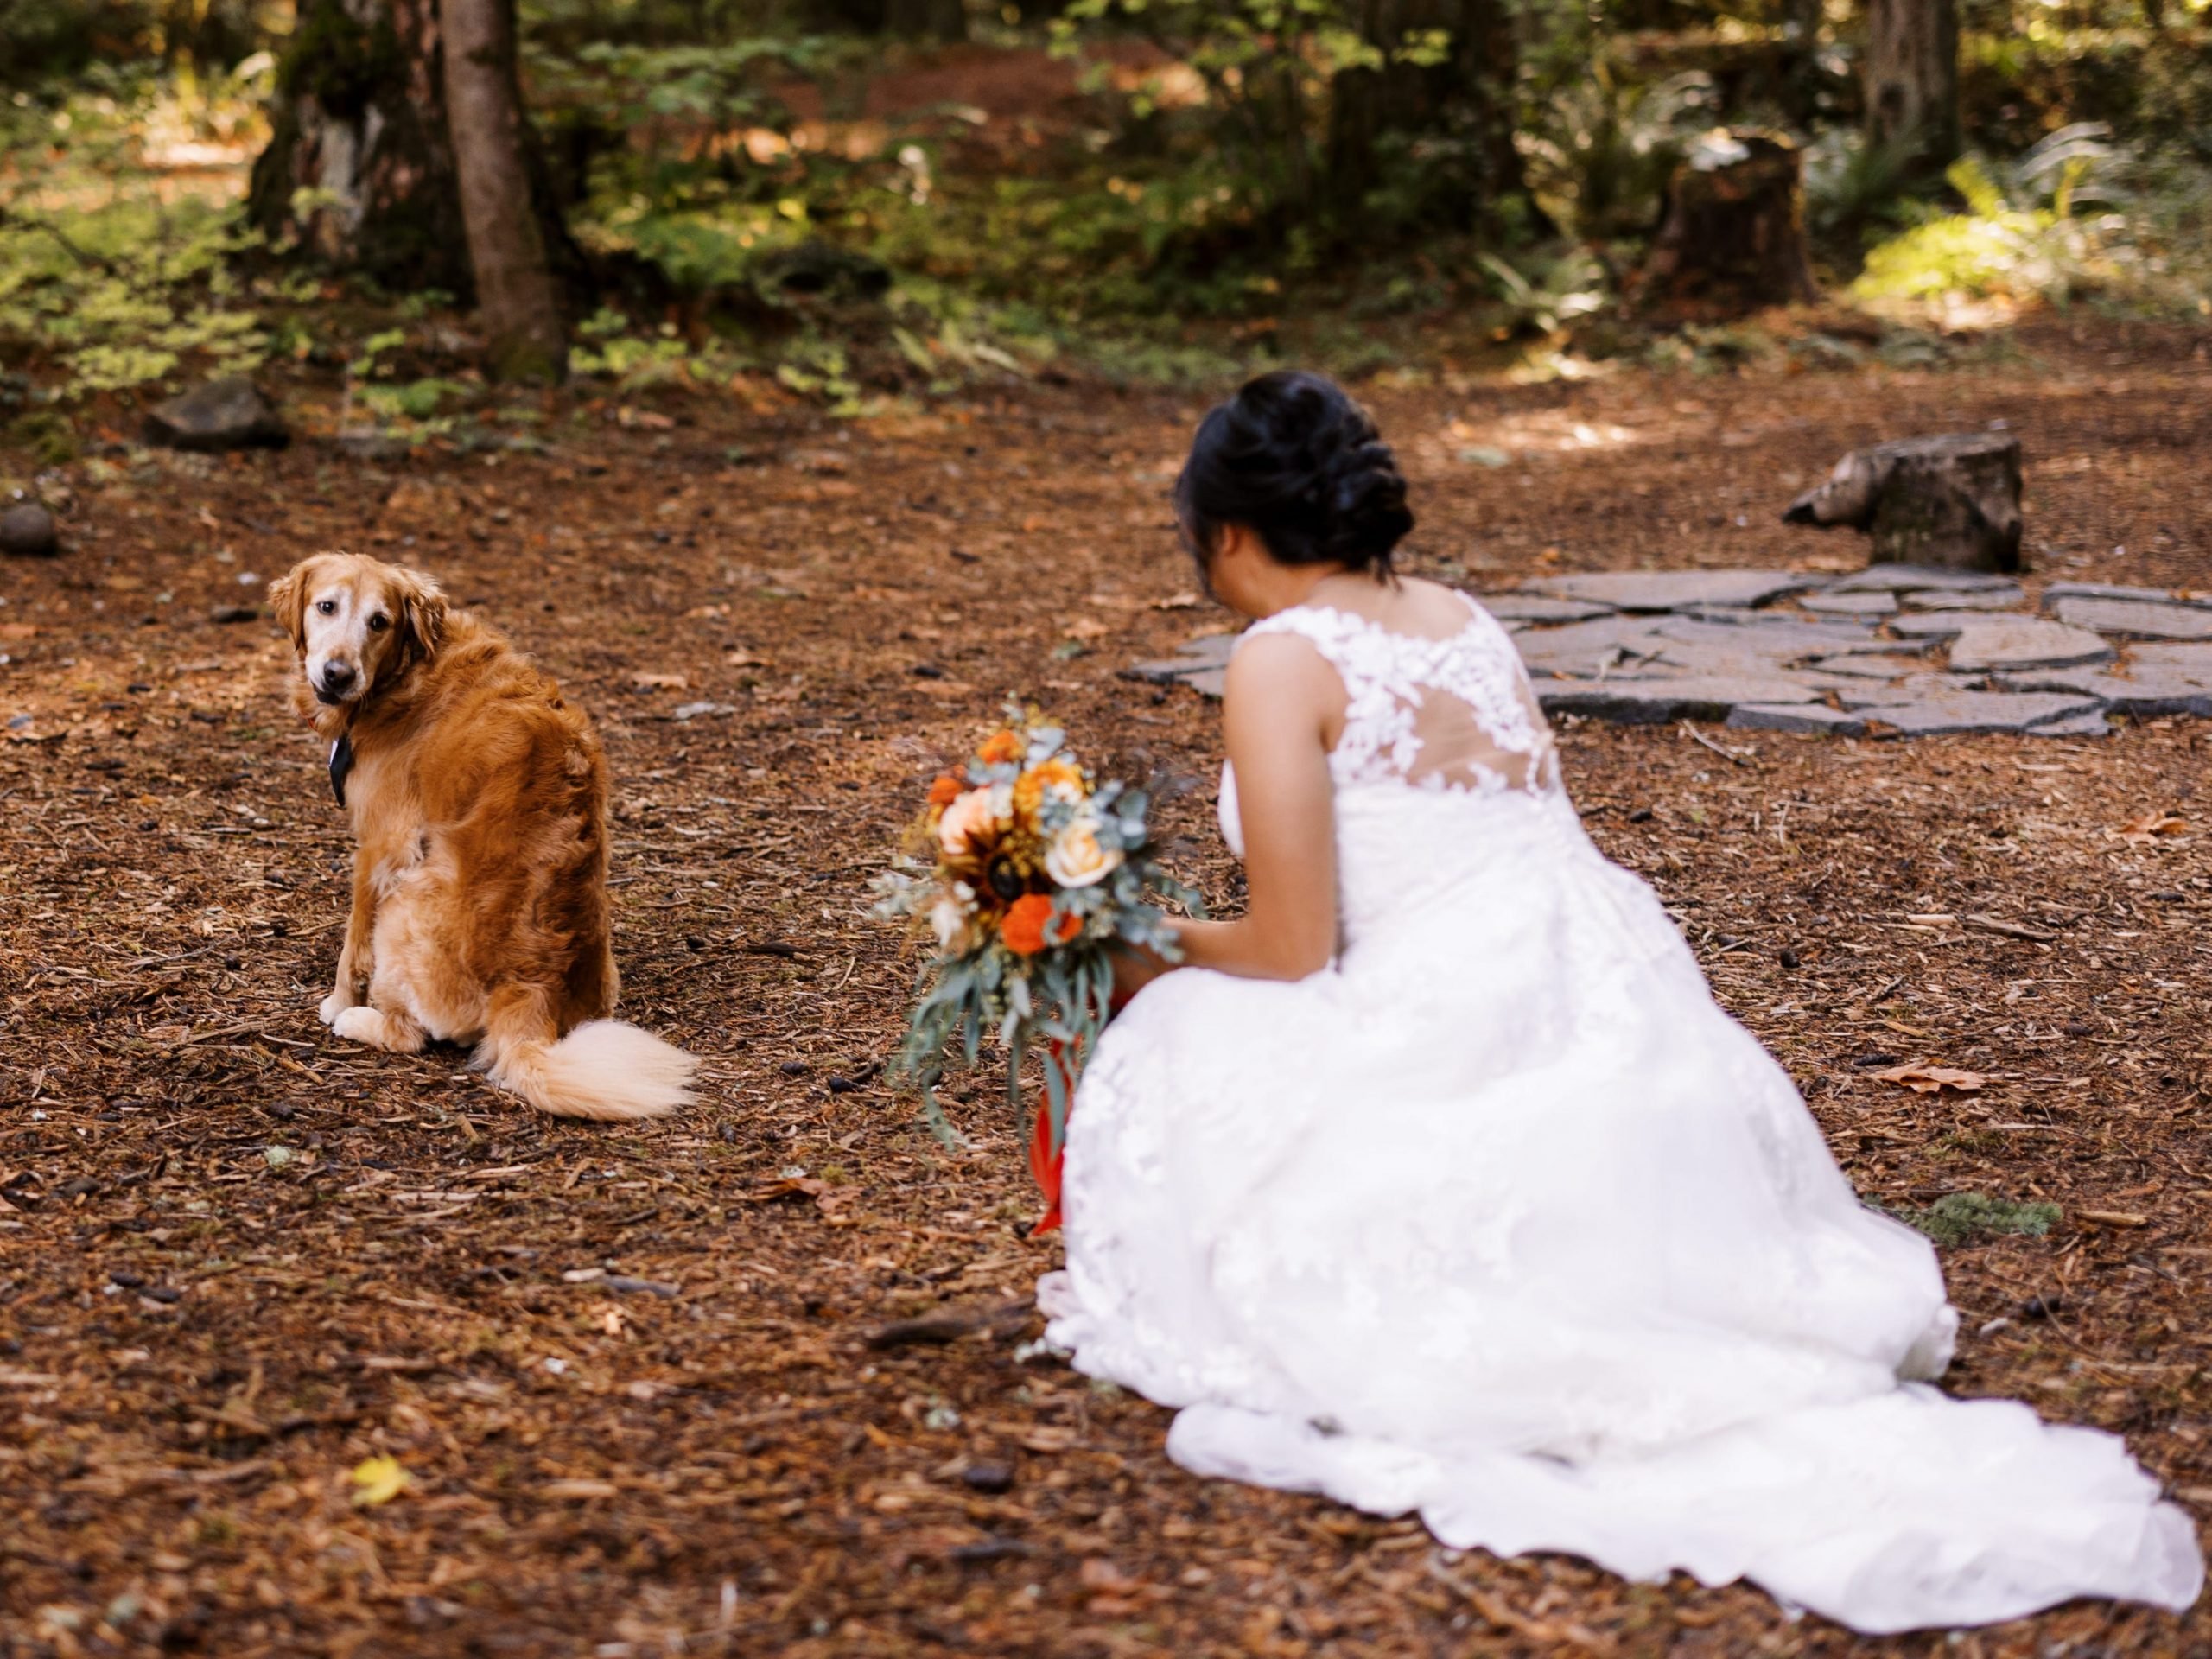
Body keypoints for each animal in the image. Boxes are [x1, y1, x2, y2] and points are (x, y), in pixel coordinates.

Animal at [273, 553, 694, 1123]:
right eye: (326, 607)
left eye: (380, 622)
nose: (338, 676)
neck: (408, 671)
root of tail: (530, 990)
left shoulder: (381, 845)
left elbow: (353, 944)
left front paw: (339, 1001)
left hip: (407, 901)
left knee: (409, 1035)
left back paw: (359, 1021)